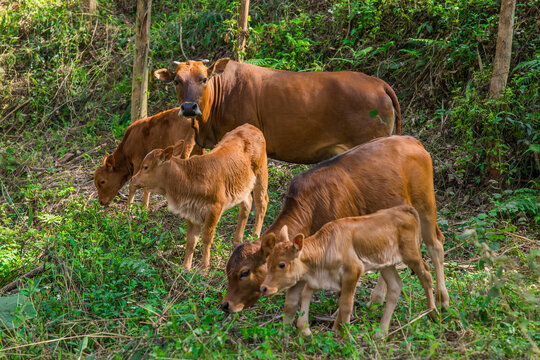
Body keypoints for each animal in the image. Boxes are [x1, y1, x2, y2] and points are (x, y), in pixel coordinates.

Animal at [129, 124, 268, 270]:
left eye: (146, 167)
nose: (133, 179)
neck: (190, 178)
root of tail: (250, 126)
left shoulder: (215, 208)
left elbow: (206, 237)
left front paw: (204, 267)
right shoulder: (191, 211)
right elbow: (191, 240)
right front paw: (186, 267)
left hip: (261, 173)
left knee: (261, 203)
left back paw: (255, 236)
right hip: (243, 185)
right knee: (247, 204)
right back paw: (237, 241)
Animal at [219, 136, 448, 316]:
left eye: (244, 272)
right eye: (228, 271)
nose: (226, 305)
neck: (311, 207)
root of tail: (411, 140)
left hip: (425, 204)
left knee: (436, 243)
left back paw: (442, 300)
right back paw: (377, 299)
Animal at [260, 205, 436, 338]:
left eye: (282, 264)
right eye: (268, 262)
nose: (263, 288)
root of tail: (402, 209)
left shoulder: (353, 271)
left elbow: (345, 305)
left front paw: (346, 337)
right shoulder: (304, 280)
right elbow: (290, 304)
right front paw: (283, 334)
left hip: (411, 254)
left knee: (426, 275)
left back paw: (433, 312)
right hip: (385, 264)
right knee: (395, 286)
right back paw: (381, 332)